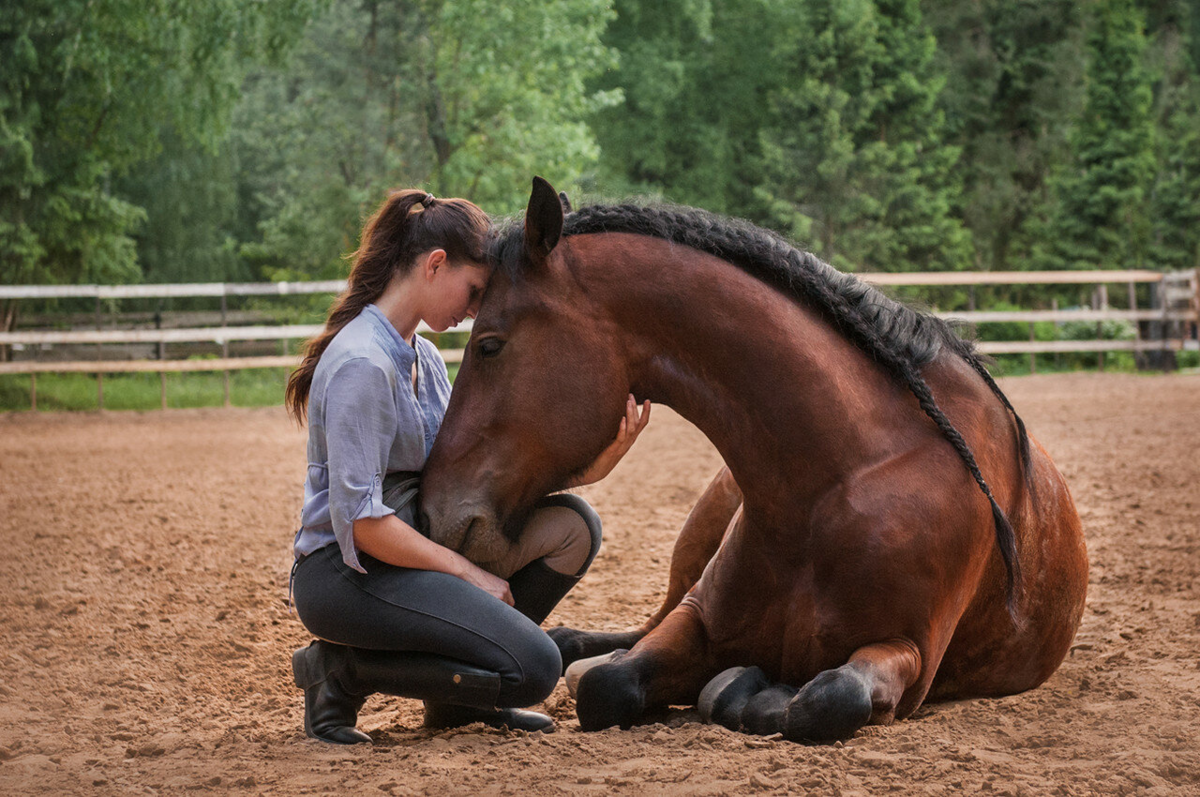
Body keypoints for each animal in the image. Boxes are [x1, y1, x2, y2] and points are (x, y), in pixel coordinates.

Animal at [422, 178, 1089, 739]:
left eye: (488, 346)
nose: (432, 511)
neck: (835, 479)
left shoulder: (910, 653)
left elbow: (829, 698)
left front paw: (749, 691)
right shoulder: (697, 619)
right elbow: (609, 686)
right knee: (616, 636)